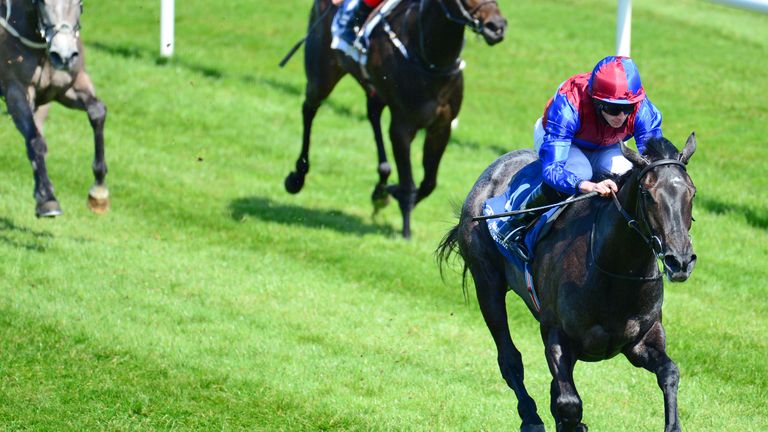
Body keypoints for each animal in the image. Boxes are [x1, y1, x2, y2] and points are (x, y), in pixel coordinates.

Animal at [0, 0, 109, 216]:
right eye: (43, 2)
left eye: (79, 2)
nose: (63, 55)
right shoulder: (15, 90)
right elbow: (35, 140)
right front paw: (48, 199)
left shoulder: (67, 88)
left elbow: (97, 111)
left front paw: (99, 191)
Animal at [284, 0, 508, 238]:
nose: (497, 27)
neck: (429, 57)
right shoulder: (402, 126)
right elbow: (409, 183)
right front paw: (406, 228)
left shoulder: (442, 126)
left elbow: (429, 183)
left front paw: (389, 193)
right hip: (323, 72)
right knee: (309, 109)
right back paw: (298, 176)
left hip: (374, 87)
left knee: (372, 112)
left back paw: (381, 182)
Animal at [438, 133, 696, 430]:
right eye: (647, 193)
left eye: (692, 192)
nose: (680, 260)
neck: (614, 271)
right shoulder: (557, 335)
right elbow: (569, 403)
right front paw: (570, 421)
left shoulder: (642, 339)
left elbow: (669, 371)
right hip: (487, 283)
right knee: (509, 358)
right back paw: (531, 418)